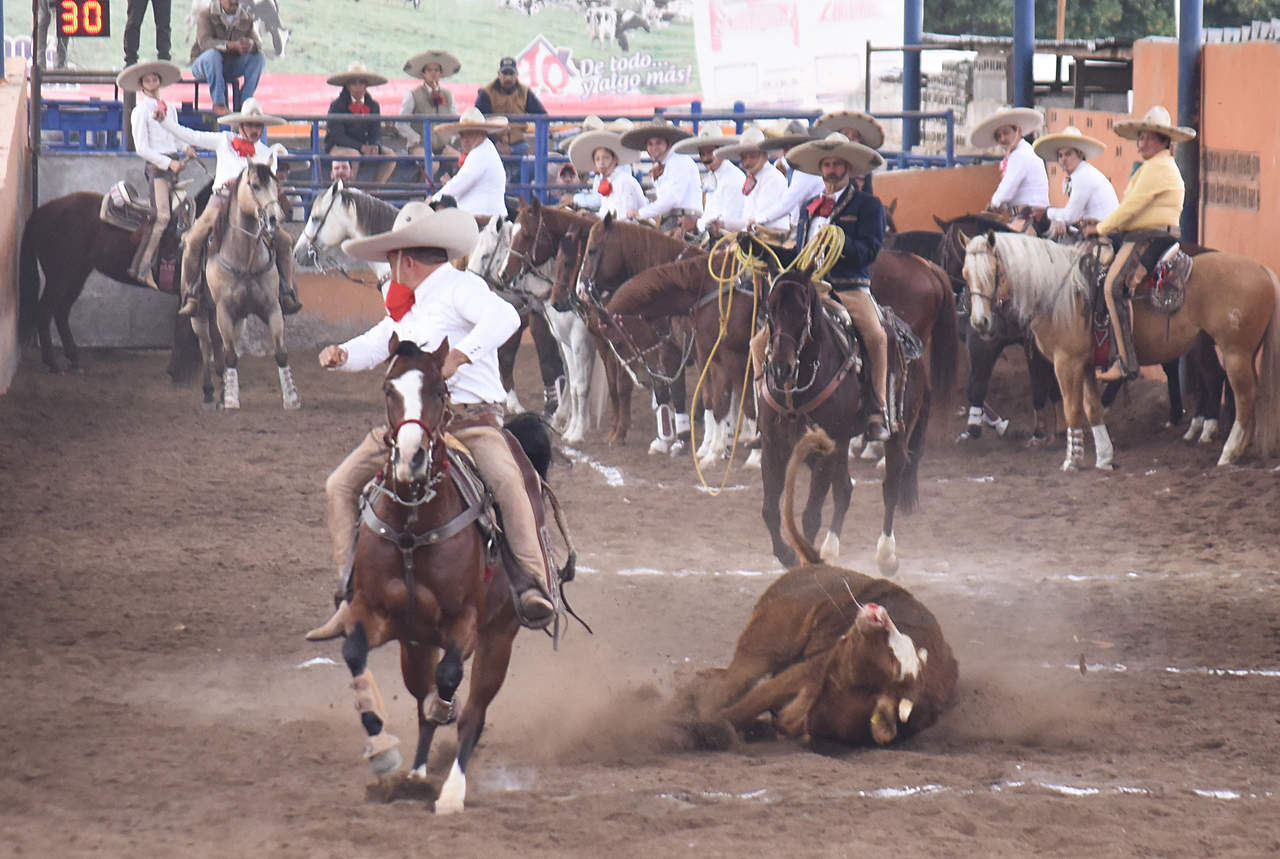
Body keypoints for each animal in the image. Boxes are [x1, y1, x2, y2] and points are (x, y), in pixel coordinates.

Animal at [17, 188, 206, 378]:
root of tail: (41, 212)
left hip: (76, 276)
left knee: (61, 311)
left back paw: (74, 360)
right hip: (60, 277)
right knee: (45, 311)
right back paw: (53, 364)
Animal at [192, 167, 299, 412]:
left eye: (276, 183)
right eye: (255, 185)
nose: (275, 217)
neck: (245, 260)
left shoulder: (271, 307)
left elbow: (281, 353)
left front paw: (291, 397)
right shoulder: (224, 311)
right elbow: (230, 355)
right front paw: (232, 400)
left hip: (237, 319)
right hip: (200, 314)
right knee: (206, 348)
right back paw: (209, 393)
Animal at [752, 252, 957, 573]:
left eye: (802, 310)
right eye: (770, 309)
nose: (781, 367)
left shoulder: (825, 450)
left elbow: (810, 516)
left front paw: (805, 559)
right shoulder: (776, 445)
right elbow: (770, 510)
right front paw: (787, 555)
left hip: (897, 431)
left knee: (891, 485)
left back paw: (886, 556)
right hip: (840, 444)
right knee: (845, 490)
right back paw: (831, 550)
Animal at [962, 231, 1274, 471]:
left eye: (992, 272)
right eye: (965, 274)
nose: (980, 322)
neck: (1062, 293)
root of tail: (1263, 271)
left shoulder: (1066, 362)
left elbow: (1072, 408)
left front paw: (1071, 460)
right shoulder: (1086, 363)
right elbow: (1092, 408)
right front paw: (1103, 457)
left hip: (1234, 352)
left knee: (1243, 395)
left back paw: (1228, 451)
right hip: (1221, 349)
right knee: (1233, 386)